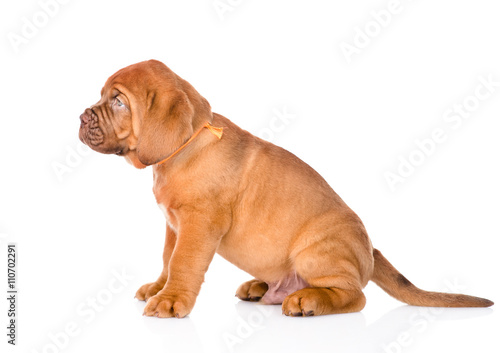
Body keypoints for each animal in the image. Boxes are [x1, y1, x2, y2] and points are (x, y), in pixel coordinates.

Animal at [78, 59, 492, 318]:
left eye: (118, 102)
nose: (81, 116)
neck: (184, 147)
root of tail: (370, 252)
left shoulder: (198, 224)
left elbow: (183, 262)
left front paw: (170, 301)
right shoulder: (173, 225)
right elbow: (167, 259)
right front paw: (159, 288)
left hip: (316, 251)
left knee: (354, 295)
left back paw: (308, 300)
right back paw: (262, 288)